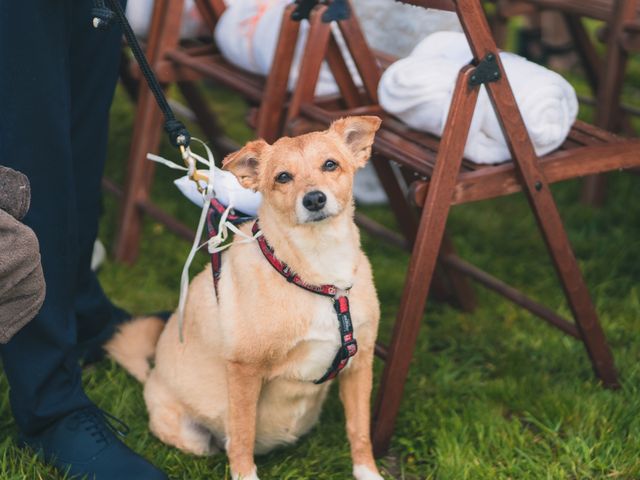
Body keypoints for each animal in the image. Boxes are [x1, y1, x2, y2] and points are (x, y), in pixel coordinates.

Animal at [107, 116, 382, 480]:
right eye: (283, 177)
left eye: (330, 165)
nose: (314, 199)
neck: (319, 276)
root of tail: (151, 378)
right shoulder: (244, 372)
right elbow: (241, 434)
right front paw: (244, 473)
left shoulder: (360, 364)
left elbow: (360, 430)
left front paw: (368, 473)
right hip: (193, 437)